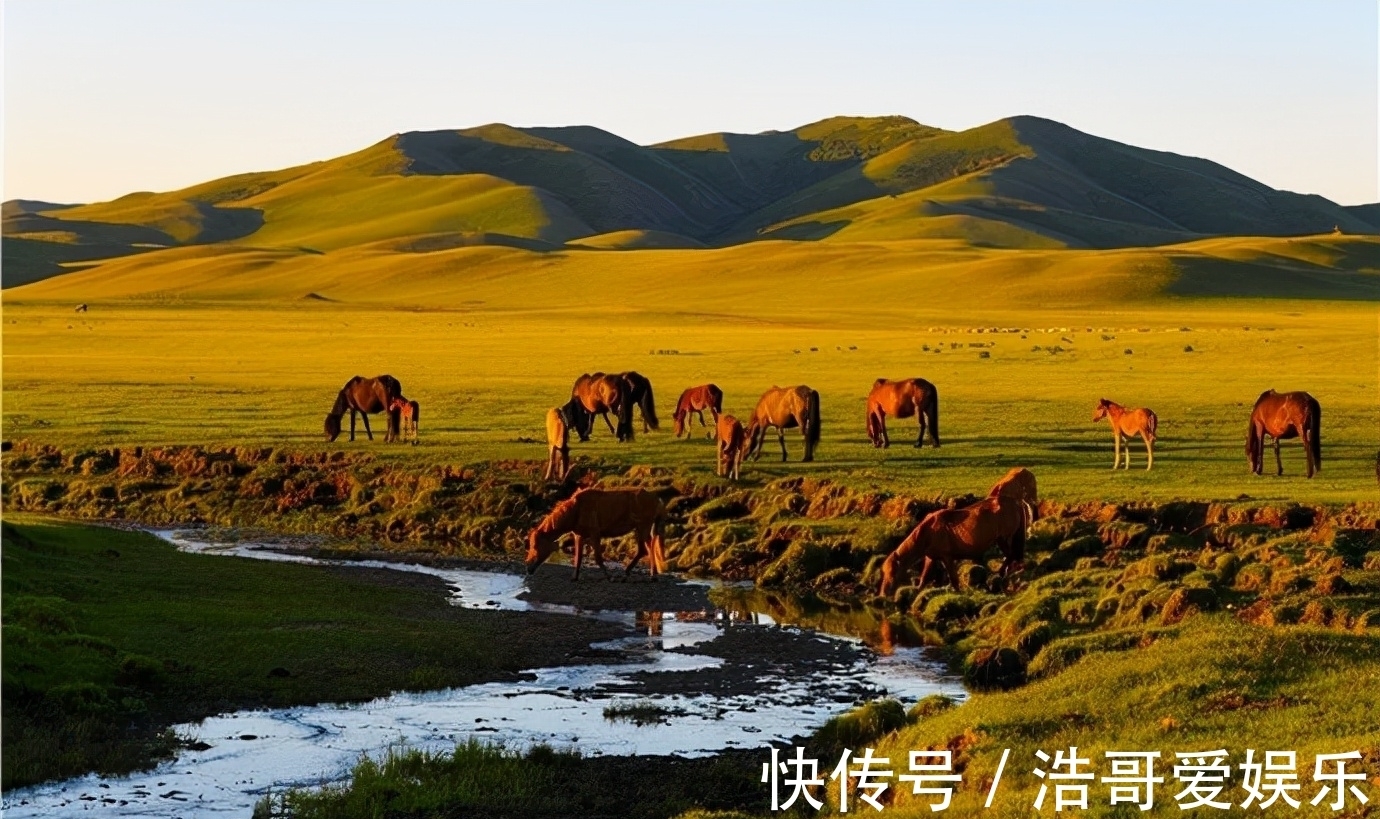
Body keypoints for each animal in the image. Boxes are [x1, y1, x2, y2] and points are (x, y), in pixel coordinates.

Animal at [527, 486, 667, 580]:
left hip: (643, 525)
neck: (574, 512)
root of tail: (659, 501)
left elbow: (598, 557)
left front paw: (609, 576)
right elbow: (578, 558)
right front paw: (574, 577)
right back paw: (640, 574)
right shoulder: (579, 535)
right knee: (647, 547)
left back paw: (639, 574)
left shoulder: (595, 532)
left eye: (535, 546)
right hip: (641, 527)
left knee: (647, 548)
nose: (528, 567)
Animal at [877, 491, 1032, 593]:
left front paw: (959, 593)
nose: (883, 593)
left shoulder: (947, 557)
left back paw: (1000, 574)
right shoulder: (931, 557)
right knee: (1012, 557)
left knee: (1011, 555)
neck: (927, 532)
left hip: (1004, 539)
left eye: (893, 572)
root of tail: (1015, 502)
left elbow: (954, 579)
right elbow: (924, 578)